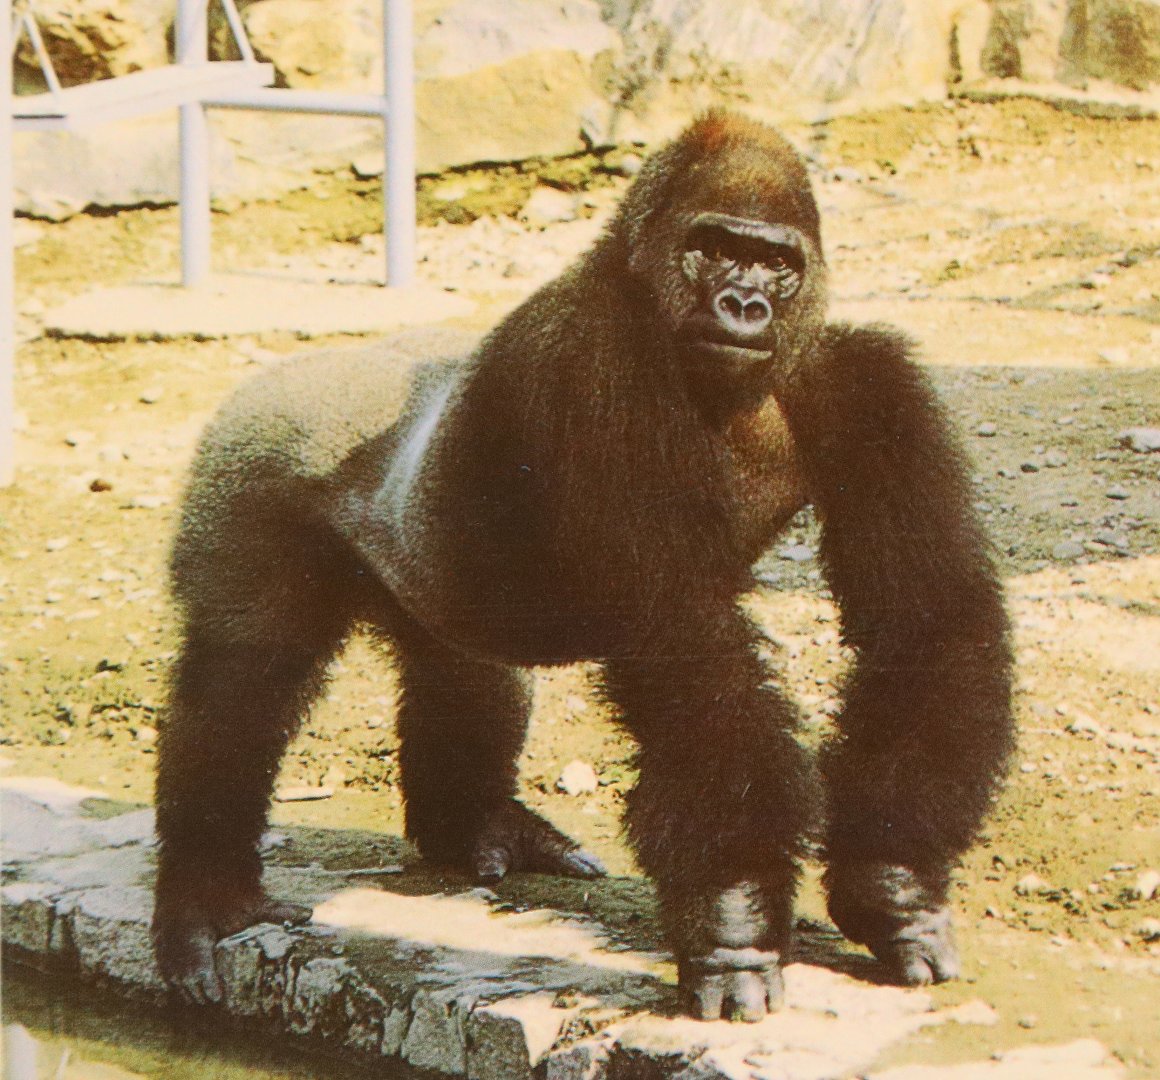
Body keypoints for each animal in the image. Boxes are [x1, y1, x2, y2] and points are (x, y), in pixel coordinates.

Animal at [152, 110, 1013, 1023]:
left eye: (777, 265)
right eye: (711, 248)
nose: (743, 306)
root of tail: (281, 372)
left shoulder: (868, 381)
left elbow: (925, 615)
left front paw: (892, 880)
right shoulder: (593, 368)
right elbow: (685, 648)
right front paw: (737, 916)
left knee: (467, 674)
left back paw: (477, 825)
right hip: (248, 458)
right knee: (244, 679)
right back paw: (207, 892)